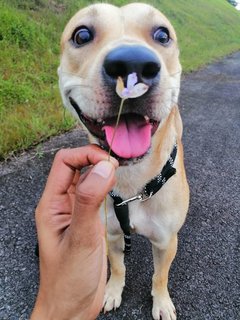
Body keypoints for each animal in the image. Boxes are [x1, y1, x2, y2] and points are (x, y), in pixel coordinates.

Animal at [57, 3, 189, 320]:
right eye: (81, 34)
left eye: (162, 34)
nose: (133, 63)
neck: (133, 186)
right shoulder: (111, 235)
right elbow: (117, 267)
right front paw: (112, 292)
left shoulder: (167, 242)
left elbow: (160, 275)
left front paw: (161, 302)